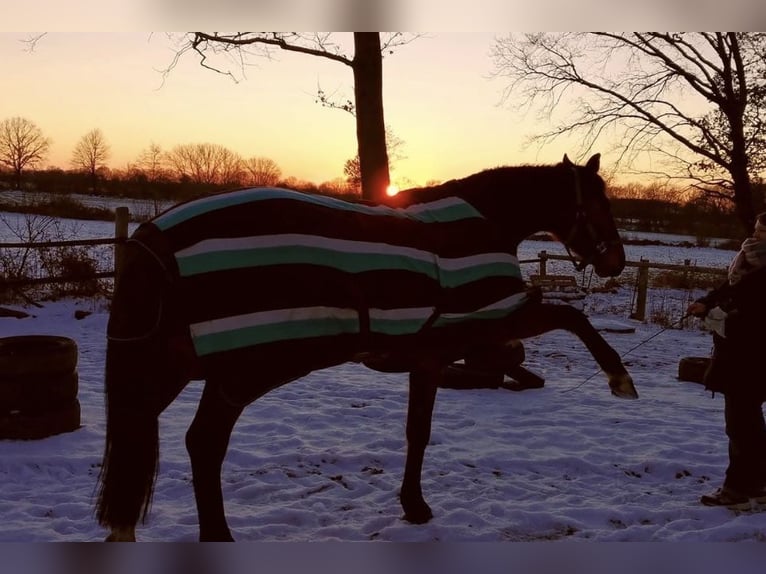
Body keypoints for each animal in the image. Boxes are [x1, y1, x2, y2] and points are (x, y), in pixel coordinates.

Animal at [94, 153, 636, 544]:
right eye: (601, 203)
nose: (616, 260)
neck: (482, 224)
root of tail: (156, 237)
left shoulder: (429, 356)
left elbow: (418, 433)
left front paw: (413, 506)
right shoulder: (487, 325)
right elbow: (572, 317)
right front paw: (620, 379)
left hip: (169, 367)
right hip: (239, 373)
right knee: (204, 444)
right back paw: (218, 536)